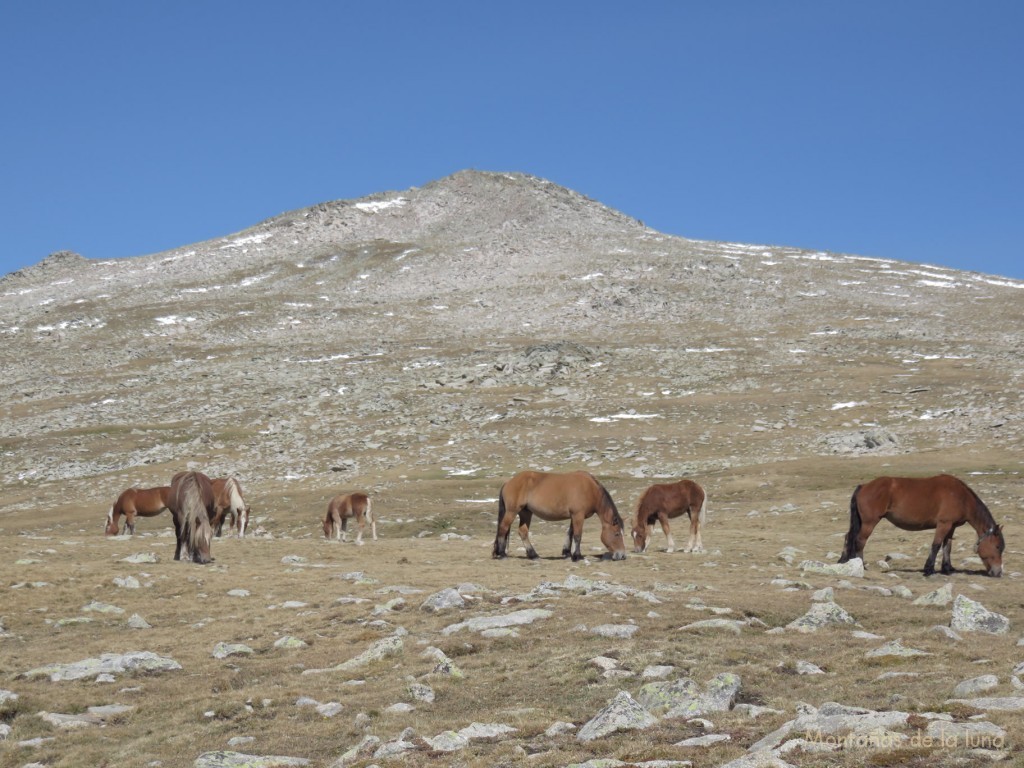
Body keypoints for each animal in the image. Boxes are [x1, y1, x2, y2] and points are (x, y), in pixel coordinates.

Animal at [493, 473, 626, 561]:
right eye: (617, 534)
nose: (622, 555)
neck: (590, 489)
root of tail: (508, 482)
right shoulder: (578, 515)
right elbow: (578, 535)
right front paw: (577, 556)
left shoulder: (574, 516)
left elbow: (570, 533)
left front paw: (567, 553)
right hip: (512, 512)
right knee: (503, 528)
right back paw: (502, 554)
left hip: (526, 513)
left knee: (523, 532)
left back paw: (533, 555)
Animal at [839, 475, 1007, 577]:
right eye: (998, 547)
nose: (998, 572)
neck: (961, 497)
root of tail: (864, 486)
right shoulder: (943, 524)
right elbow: (936, 545)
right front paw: (929, 569)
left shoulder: (951, 526)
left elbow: (947, 547)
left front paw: (947, 569)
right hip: (869, 523)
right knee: (860, 541)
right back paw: (861, 565)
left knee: (849, 537)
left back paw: (845, 560)